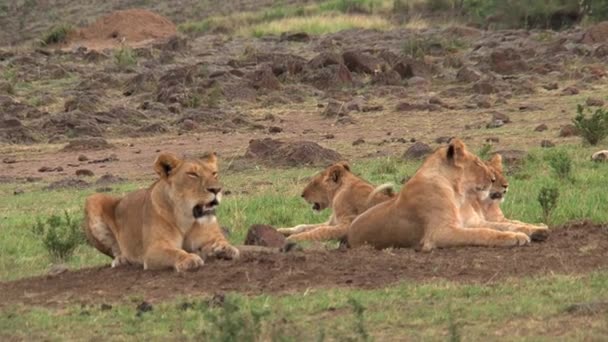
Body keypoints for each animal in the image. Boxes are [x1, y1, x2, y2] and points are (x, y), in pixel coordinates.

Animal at [82, 152, 239, 272]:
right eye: (192, 174)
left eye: (214, 173)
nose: (216, 189)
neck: (186, 218)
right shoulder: (154, 250)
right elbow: (174, 252)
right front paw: (189, 258)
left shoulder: (210, 237)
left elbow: (221, 242)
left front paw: (226, 249)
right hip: (93, 199)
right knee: (115, 251)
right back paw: (121, 260)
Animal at [350, 139, 528, 251]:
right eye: (477, 163)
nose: (493, 180)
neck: (457, 193)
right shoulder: (439, 232)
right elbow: (482, 233)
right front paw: (516, 238)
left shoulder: (467, 222)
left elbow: (498, 226)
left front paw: (525, 232)